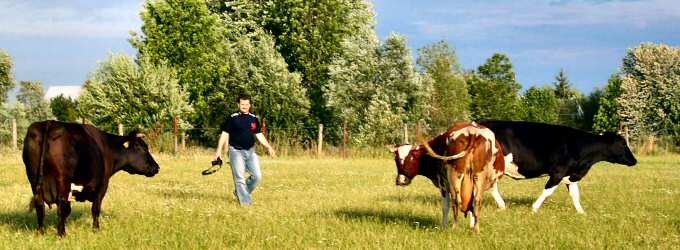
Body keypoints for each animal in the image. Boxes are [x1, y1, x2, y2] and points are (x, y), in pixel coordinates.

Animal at [478, 120, 636, 214]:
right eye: (623, 144)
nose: (634, 161)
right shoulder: (558, 172)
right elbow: (548, 191)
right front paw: (534, 208)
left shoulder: (571, 175)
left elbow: (575, 194)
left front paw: (582, 213)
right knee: (490, 186)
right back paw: (500, 205)